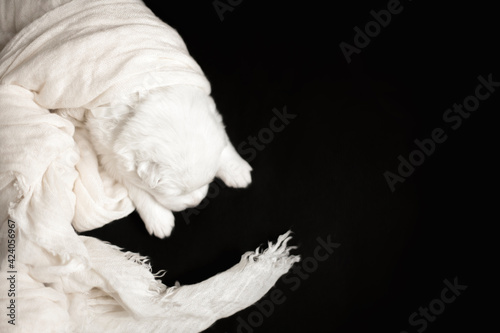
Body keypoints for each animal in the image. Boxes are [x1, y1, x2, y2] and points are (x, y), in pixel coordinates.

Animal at [85, 84, 254, 237]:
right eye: (176, 194)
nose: (195, 203)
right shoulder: (108, 154)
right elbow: (138, 189)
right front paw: (159, 221)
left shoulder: (208, 108)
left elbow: (223, 139)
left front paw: (237, 170)